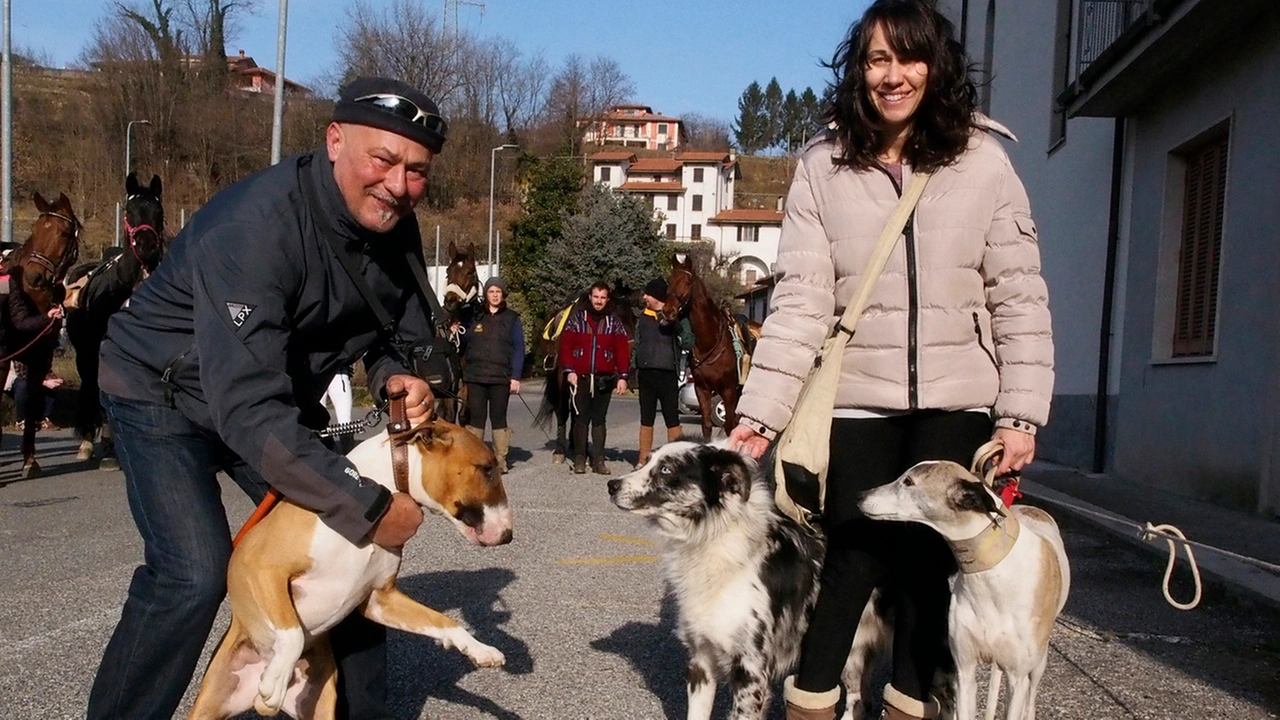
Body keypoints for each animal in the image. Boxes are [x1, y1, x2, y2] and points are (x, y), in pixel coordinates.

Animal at [0, 189, 81, 476]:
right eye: (36, 229)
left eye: (64, 233)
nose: (35, 276)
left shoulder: (40, 357)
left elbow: (33, 402)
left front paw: (30, 459)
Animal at [65, 174, 165, 466]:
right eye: (130, 212)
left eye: (158, 211)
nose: (146, 246)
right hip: (85, 354)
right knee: (90, 387)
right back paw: (89, 441)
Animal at [186, 420, 514, 717]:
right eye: (487, 469)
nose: (509, 536)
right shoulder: (261, 568)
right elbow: (292, 634)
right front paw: (274, 684)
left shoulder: (381, 600)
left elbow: (441, 620)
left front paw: (480, 649)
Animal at [660, 256, 747, 438]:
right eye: (669, 281)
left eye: (688, 282)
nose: (668, 311)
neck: (710, 343)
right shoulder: (702, 389)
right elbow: (707, 425)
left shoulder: (728, 390)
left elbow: (729, 426)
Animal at [860, 458, 1070, 717]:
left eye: (908, 481)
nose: (860, 496)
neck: (991, 573)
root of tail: (1035, 509)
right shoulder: (965, 670)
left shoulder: (1017, 677)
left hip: (1037, 664)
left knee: (1030, 699)